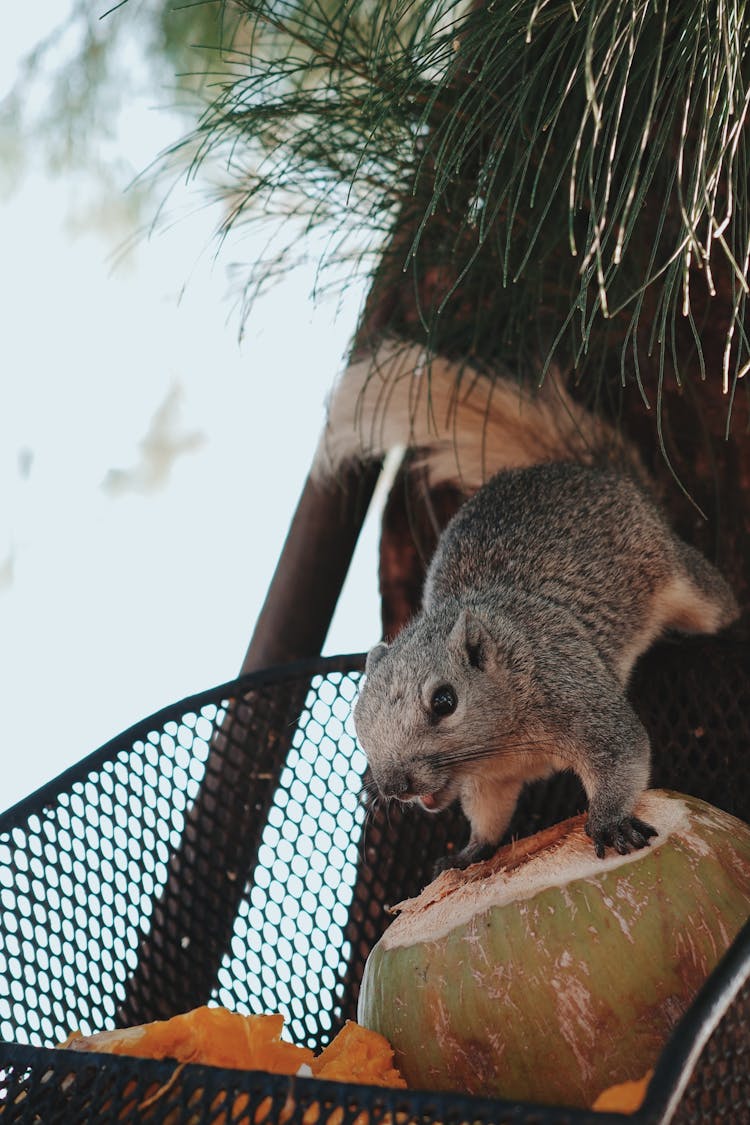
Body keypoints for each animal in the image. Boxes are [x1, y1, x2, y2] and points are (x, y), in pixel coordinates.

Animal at [314, 339, 742, 868]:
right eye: (357, 716)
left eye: (444, 702)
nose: (393, 786)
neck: (500, 743)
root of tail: (586, 470)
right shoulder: (486, 781)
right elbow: (488, 814)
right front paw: (468, 853)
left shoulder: (577, 694)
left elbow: (622, 755)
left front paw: (609, 822)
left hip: (677, 573)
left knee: (715, 602)